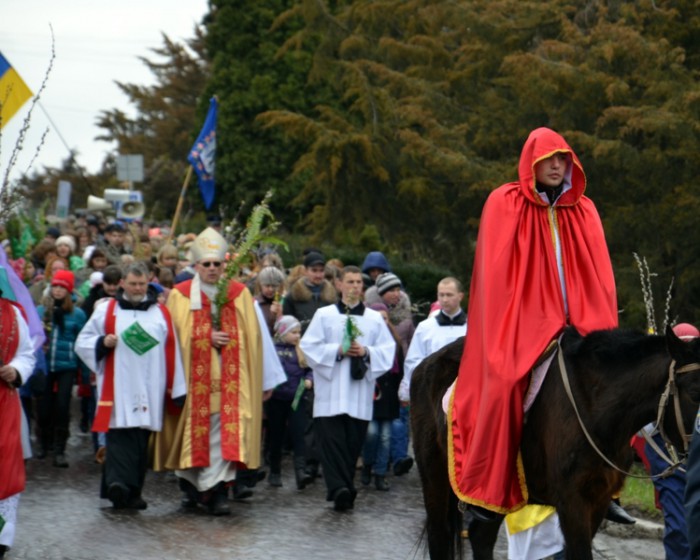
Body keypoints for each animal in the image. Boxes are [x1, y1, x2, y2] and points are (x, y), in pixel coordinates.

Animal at [410, 326, 700, 560]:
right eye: (695, 393)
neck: (595, 407)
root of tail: (426, 363)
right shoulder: (573, 500)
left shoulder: (598, 499)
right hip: (435, 475)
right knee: (439, 535)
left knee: (481, 536)